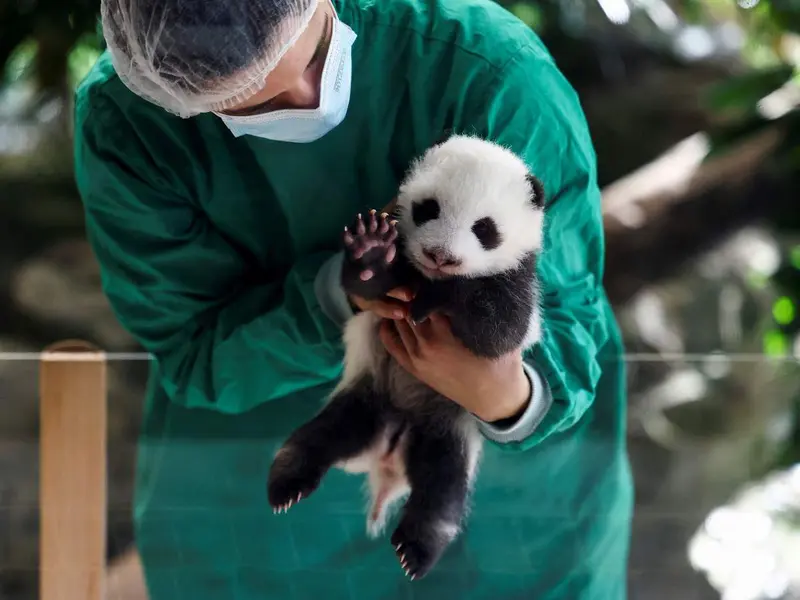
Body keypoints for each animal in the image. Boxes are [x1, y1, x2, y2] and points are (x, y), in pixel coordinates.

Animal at [266, 132, 548, 580]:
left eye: (485, 229)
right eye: (428, 208)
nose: (441, 256)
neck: (426, 278)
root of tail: (389, 449)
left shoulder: (519, 280)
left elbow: (497, 334)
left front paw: (444, 298)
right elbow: (363, 286)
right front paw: (370, 250)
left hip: (449, 428)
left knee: (441, 490)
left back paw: (417, 548)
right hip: (365, 396)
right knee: (318, 438)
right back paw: (286, 486)